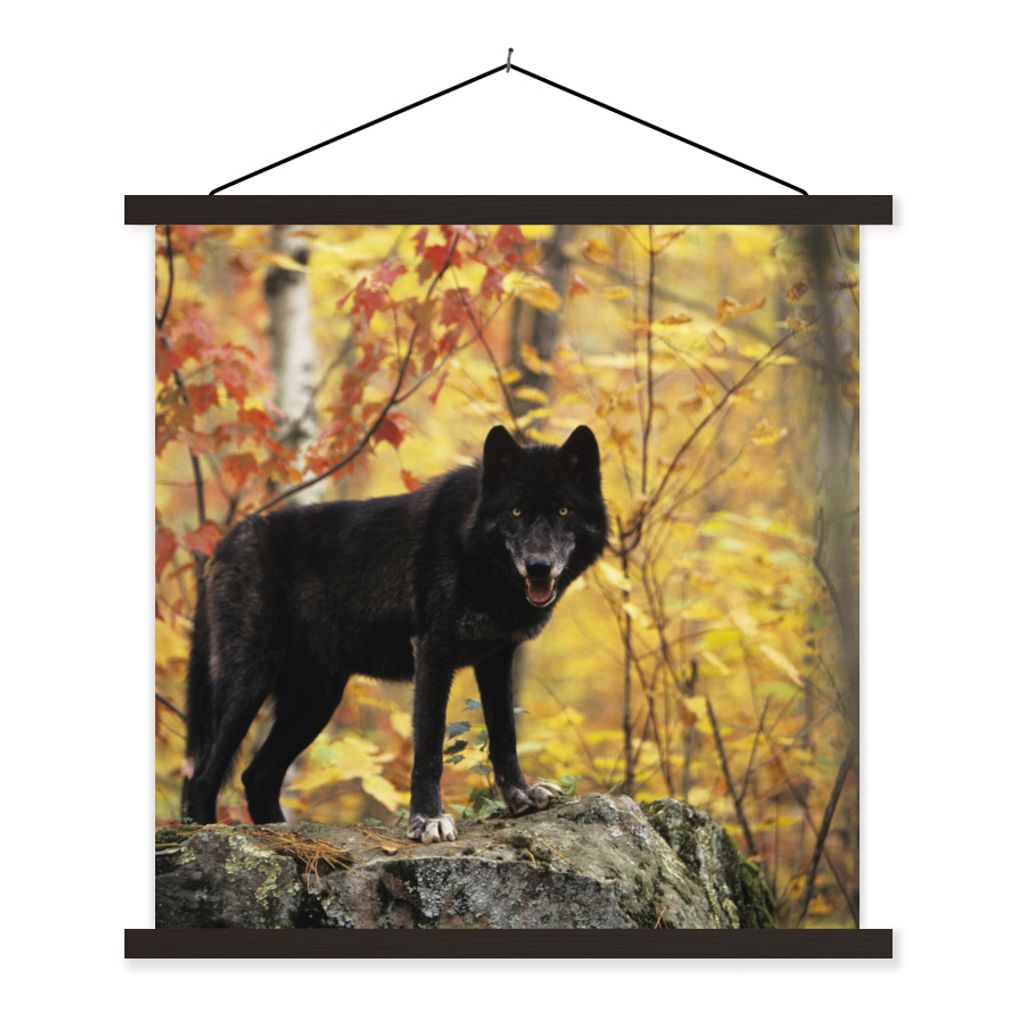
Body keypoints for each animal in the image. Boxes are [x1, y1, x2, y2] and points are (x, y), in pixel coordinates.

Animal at [181, 424, 608, 842]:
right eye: (516, 510)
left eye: (563, 510)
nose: (538, 567)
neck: (473, 553)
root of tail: (224, 543)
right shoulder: (433, 652)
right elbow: (430, 746)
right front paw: (428, 819)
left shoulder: (497, 659)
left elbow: (505, 735)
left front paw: (520, 795)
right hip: (249, 685)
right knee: (201, 777)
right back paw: (205, 834)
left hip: (316, 701)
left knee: (256, 776)